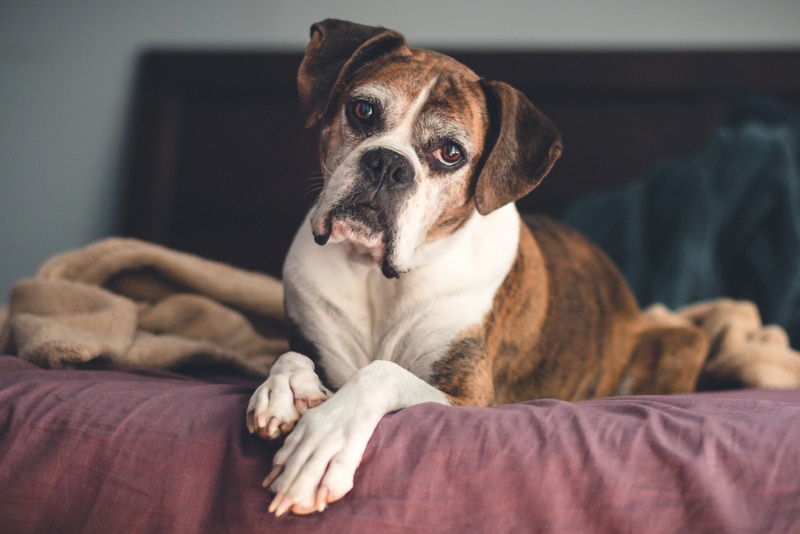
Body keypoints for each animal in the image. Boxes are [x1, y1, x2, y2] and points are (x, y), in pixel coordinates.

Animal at [245, 19, 720, 516]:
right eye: (362, 110)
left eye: (451, 153)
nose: (388, 163)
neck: (376, 275)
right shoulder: (309, 337)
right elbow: (288, 354)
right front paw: (286, 390)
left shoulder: (470, 397)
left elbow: (380, 373)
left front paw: (323, 442)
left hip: (682, 340)